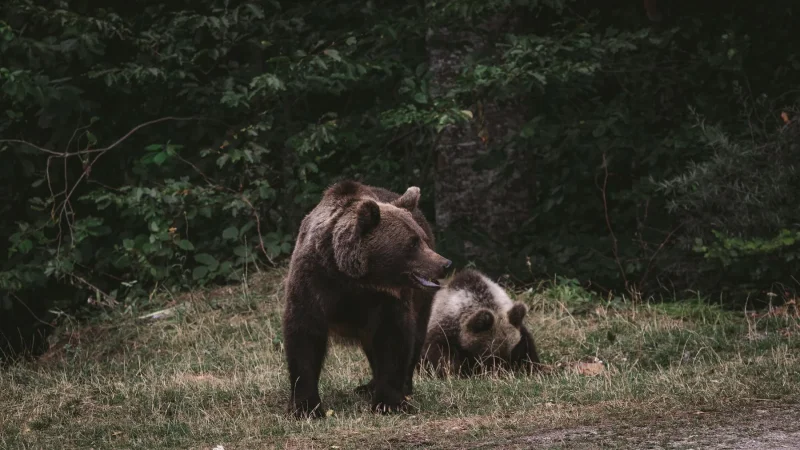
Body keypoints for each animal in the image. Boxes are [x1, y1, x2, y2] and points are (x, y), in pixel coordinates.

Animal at [282, 180, 451, 418]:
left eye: (423, 240)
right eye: (412, 243)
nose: (445, 264)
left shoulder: (386, 300)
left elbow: (393, 338)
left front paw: (389, 402)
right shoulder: (313, 283)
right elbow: (304, 337)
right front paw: (305, 407)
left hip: (421, 300)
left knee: (415, 336)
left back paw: (399, 386)